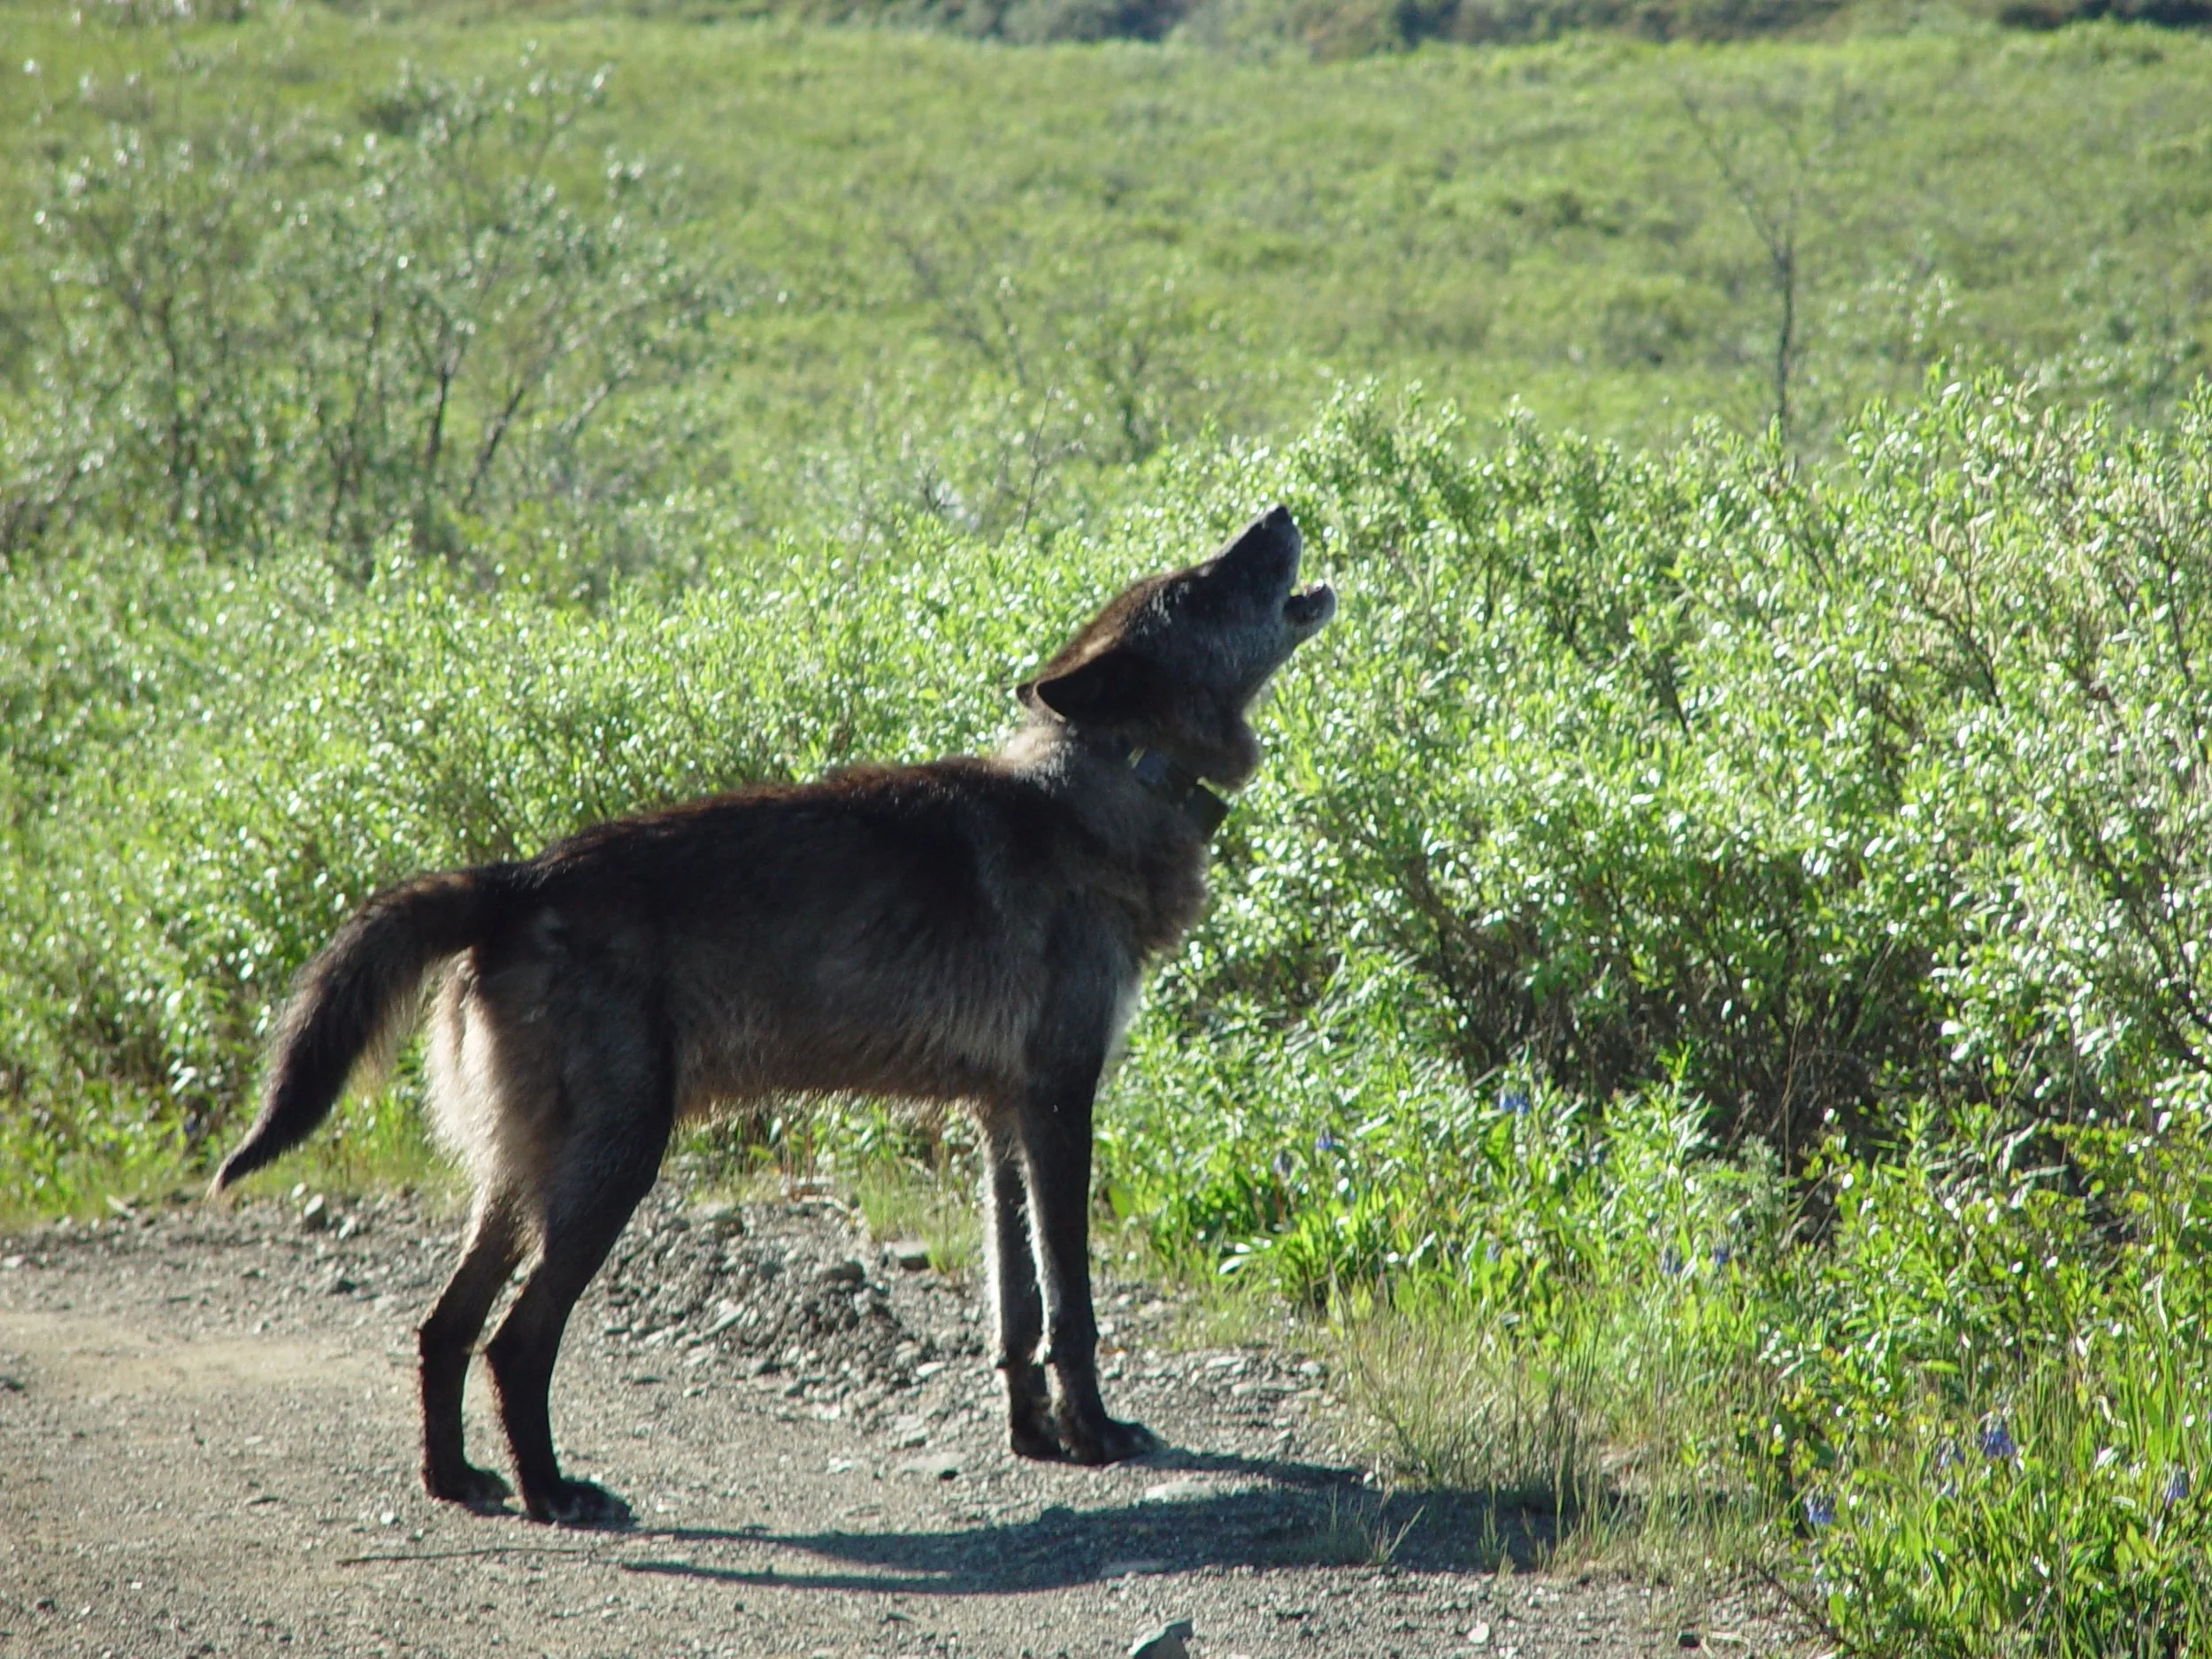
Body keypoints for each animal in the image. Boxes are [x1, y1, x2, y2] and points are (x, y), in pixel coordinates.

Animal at [210, 504, 1335, 1527]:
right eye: (1197, 586)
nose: (1279, 511)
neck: (1103, 787)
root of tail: (517, 877)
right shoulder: (1061, 1107)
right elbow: (1072, 1307)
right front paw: (1094, 1436)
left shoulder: (1002, 1121)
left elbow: (1013, 1309)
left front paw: (1034, 1440)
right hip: (613, 1172)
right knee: (513, 1342)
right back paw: (552, 1493)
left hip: (522, 1184)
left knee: (442, 1329)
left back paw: (456, 1482)